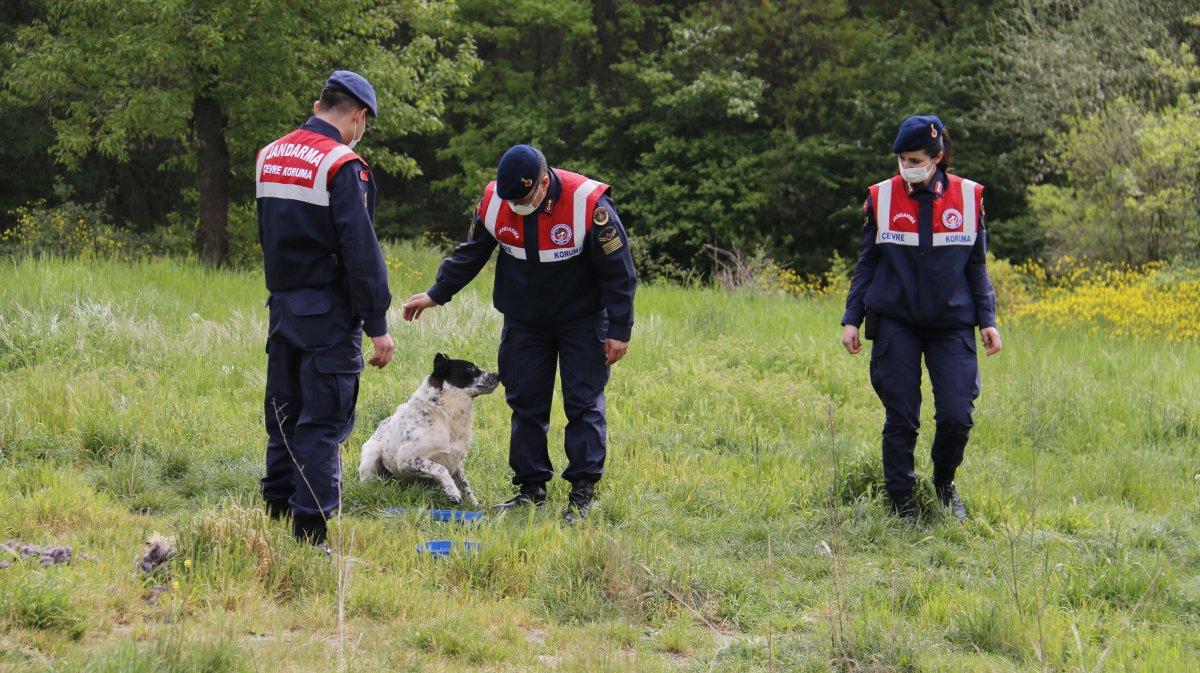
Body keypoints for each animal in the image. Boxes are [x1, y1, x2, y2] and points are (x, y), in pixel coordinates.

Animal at [360, 352, 501, 503]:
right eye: (470, 369)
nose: (499, 375)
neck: (444, 414)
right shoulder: (407, 460)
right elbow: (440, 469)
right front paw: (452, 492)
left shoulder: (457, 461)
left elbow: (465, 485)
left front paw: (474, 504)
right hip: (372, 453)